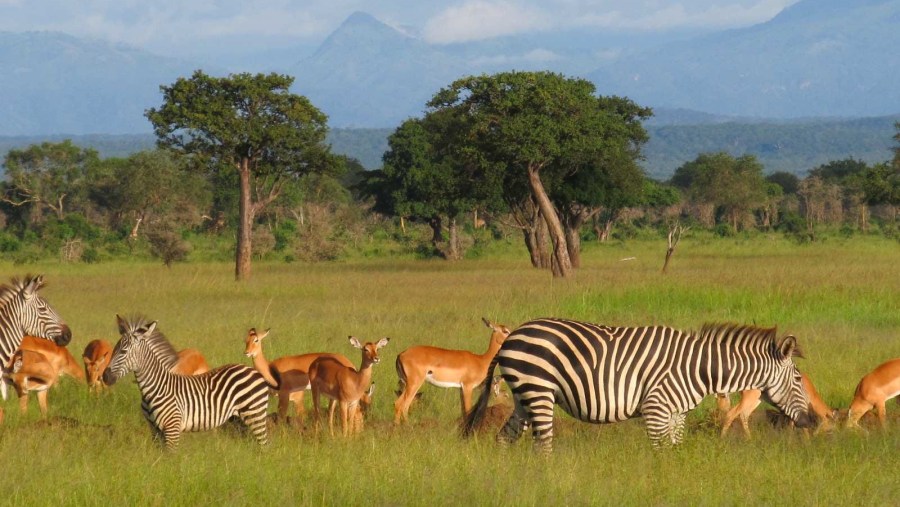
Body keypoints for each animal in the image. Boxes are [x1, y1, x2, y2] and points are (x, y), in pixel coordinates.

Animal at [103, 316, 270, 450]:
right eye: (113, 349)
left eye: (123, 351)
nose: (105, 377)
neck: (156, 388)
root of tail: (251, 369)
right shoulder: (154, 430)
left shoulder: (172, 428)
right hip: (238, 418)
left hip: (255, 414)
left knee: (264, 445)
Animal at [464, 320, 816, 454]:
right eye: (799, 380)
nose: (811, 421)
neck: (699, 369)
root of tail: (513, 334)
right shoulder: (656, 408)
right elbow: (660, 452)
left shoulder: (676, 414)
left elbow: (675, 450)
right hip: (538, 391)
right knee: (543, 445)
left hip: (523, 395)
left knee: (504, 438)